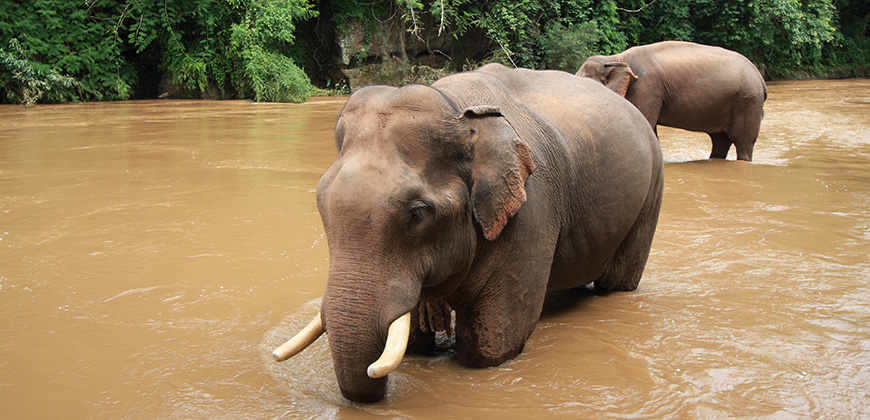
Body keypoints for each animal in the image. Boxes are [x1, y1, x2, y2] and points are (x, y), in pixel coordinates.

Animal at [276, 63, 664, 404]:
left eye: (417, 214)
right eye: (321, 204)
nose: (373, 375)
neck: (456, 110)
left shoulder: (532, 210)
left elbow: (491, 347)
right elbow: (413, 342)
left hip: (652, 188)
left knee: (618, 282)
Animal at [580, 41, 768, 162]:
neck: (616, 57)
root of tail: (760, 76)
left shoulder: (647, 87)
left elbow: (648, 123)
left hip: (747, 100)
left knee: (743, 142)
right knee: (720, 141)